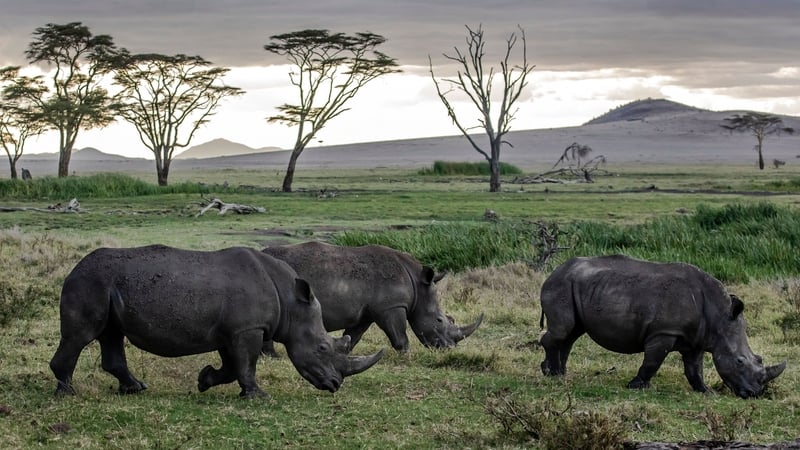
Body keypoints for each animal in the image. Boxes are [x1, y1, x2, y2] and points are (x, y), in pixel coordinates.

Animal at [50, 245, 384, 398]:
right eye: (323, 348)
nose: (334, 385)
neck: (291, 302)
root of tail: (73, 269)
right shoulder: (247, 329)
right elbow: (245, 365)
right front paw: (258, 397)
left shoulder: (233, 330)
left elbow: (232, 366)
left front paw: (204, 380)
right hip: (89, 282)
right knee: (81, 336)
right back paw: (68, 393)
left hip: (105, 286)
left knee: (111, 334)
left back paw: (135, 389)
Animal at [261, 241, 483, 353]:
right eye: (439, 320)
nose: (449, 348)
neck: (417, 283)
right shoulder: (392, 306)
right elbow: (400, 336)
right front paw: (406, 356)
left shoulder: (367, 313)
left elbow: (353, 336)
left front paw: (343, 354)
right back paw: (272, 356)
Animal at [539, 255, 786, 398]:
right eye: (739, 361)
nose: (754, 393)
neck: (719, 316)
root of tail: (555, 271)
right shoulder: (663, 332)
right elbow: (652, 362)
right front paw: (637, 386)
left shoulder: (696, 339)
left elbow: (694, 369)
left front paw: (706, 392)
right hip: (561, 285)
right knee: (563, 330)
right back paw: (551, 375)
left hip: (578, 285)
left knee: (571, 334)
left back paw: (560, 373)